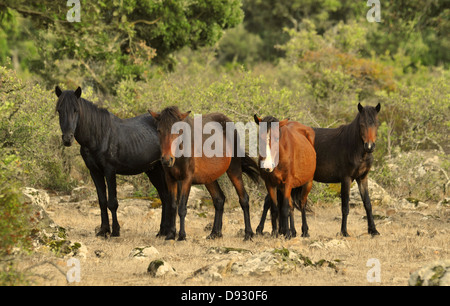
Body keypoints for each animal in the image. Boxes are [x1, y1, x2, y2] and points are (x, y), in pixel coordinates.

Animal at [55, 86, 171, 237]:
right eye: (59, 110)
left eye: (76, 110)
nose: (67, 139)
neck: (99, 136)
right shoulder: (95, 172)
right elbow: (102, 201)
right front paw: (103, 230)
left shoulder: (110, 171)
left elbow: (112, 202)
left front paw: (115, 231)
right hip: (154, 170)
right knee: (164, 196)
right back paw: (162, 232)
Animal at [149, 106, 258, 240]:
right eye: (159, 130)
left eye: (179, 131)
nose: (166, 159)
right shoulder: (170, 179)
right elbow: (173, 206)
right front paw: (170, 234)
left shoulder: (187, 179)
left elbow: (182, 208)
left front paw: (182, 236)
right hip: (209, 178)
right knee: (219, 200)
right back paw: (215, 233)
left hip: (234, 170)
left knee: (244, 199)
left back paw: (248, 234)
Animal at [258, 103, 382, 237]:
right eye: (362, 124)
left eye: (377, 124)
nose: (369, 146)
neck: (354, 148)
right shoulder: (346, 179)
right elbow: (345, 206)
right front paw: (344, 231)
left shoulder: (362, 178)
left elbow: (367, 204)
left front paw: (373, 230)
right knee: (269, 201)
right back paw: (262, 229)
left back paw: (289, 231)